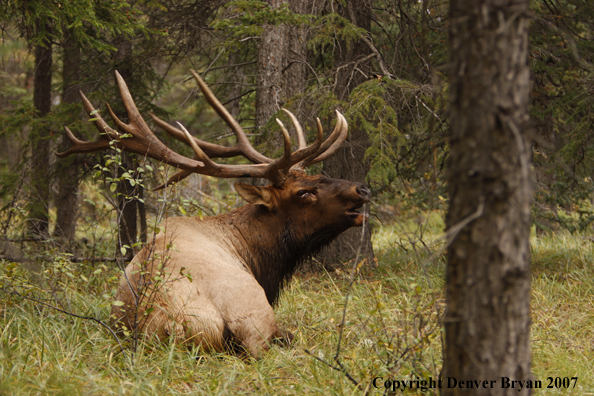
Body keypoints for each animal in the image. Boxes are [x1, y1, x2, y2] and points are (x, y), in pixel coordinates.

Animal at [56, 69, 370, 358]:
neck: (254, 254)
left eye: (318, 175)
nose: (362, 189)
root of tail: (173, 323)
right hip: (253, 310)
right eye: (304, 193)